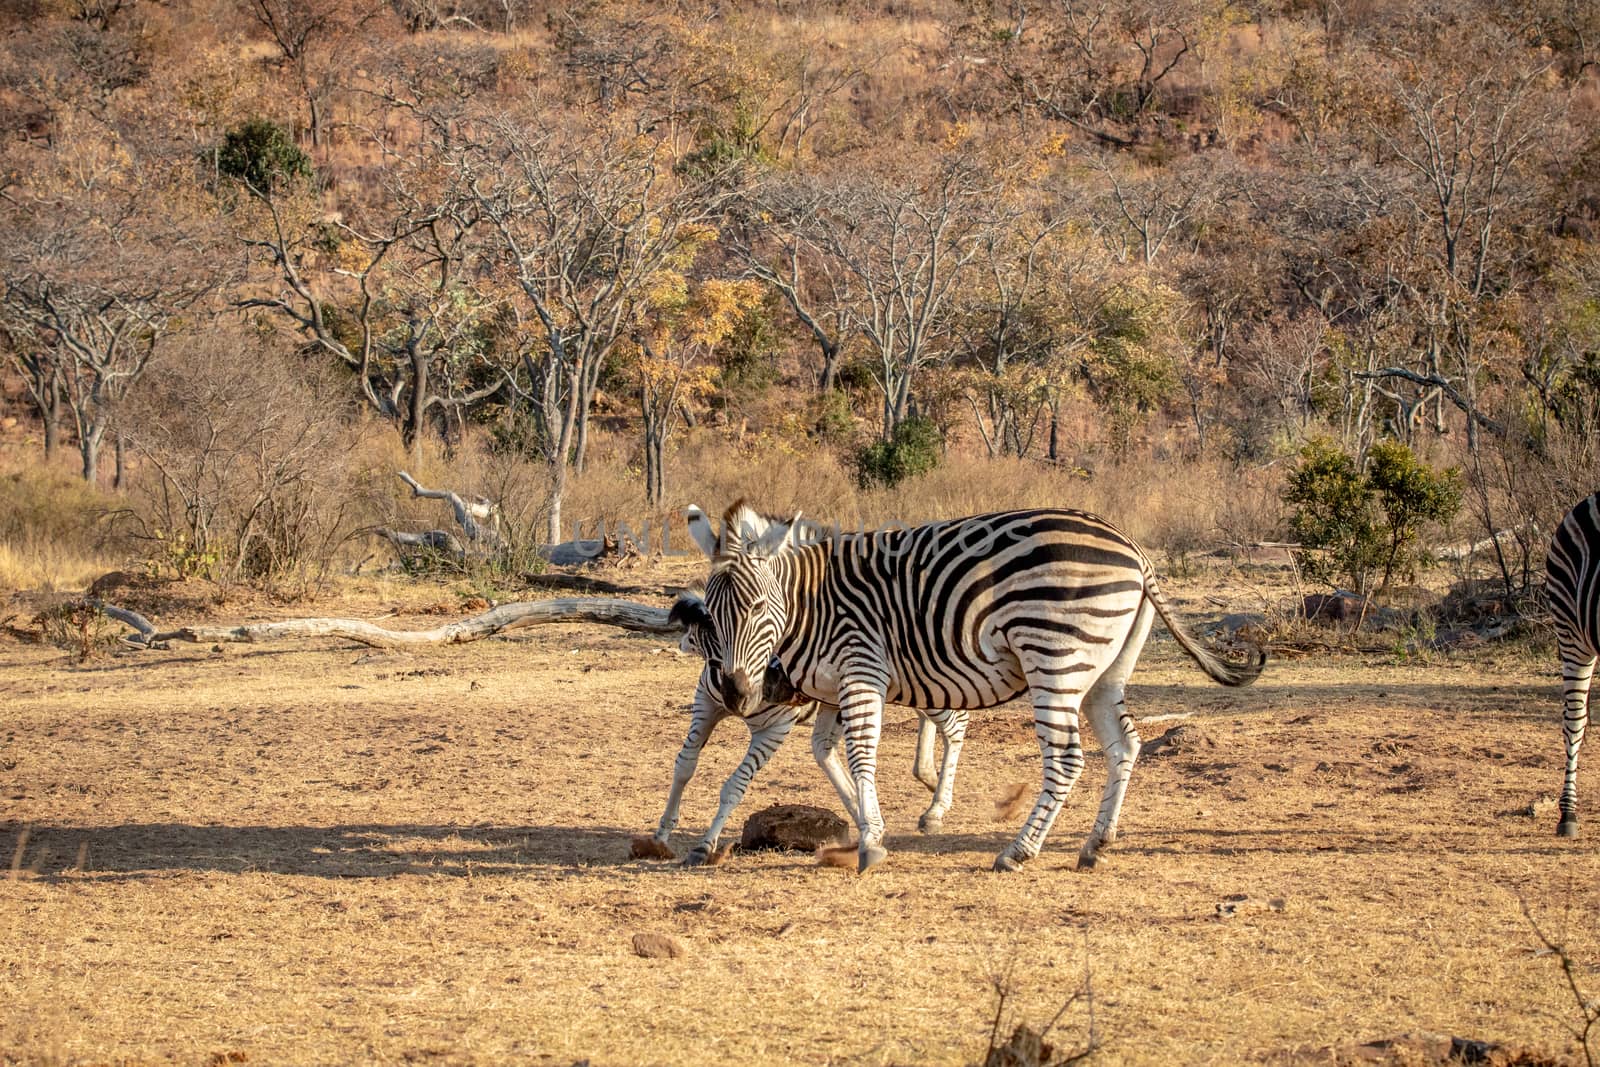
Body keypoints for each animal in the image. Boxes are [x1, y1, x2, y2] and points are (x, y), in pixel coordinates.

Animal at [646, 585, 966, 870]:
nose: (772, 684)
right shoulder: (706, 706)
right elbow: (684, 766)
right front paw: (661, 835)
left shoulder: (773, 729)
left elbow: (734, 785)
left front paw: (704, 846)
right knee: (830, 747)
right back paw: (924, 778)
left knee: (956, 726)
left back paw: (935, 809)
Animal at [688, 505, 1260, 870]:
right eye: (710, 614)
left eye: (758, 609)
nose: (734, 693)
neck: (811, 606)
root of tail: (1134, 549)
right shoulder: (832, 689)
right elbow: (827, 754)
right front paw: (870, 825)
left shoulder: (861, 668)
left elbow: (860, 755)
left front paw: (872, 842)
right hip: (1105, 671)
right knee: (1125, 745)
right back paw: (1097, 843)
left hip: (1055, 659)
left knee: (1067, 759)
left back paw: (1018, 852)